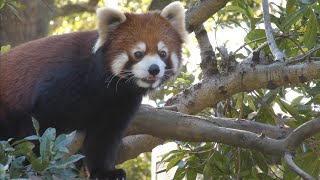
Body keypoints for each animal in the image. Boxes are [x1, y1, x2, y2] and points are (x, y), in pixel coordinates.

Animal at [0, 1, 186, 180]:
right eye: (138, 54)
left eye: (163, 53)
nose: (154, 69)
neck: (107, 87)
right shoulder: (62, 83)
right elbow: (37, 128)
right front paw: (36, 164)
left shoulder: (121, 103)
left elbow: (103, 139)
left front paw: (105, 172)